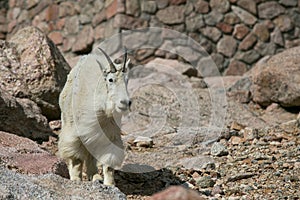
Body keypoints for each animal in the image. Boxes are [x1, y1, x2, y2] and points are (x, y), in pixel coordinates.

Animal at [58, 47, 131, 185]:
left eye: (127, 80)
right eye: (110, 79)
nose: (125, 102)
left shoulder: (110, 134)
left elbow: (109, 163)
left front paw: (110, 184)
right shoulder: (75, 133)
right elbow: (76, 159)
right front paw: (76, 179)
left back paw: (96, 176)